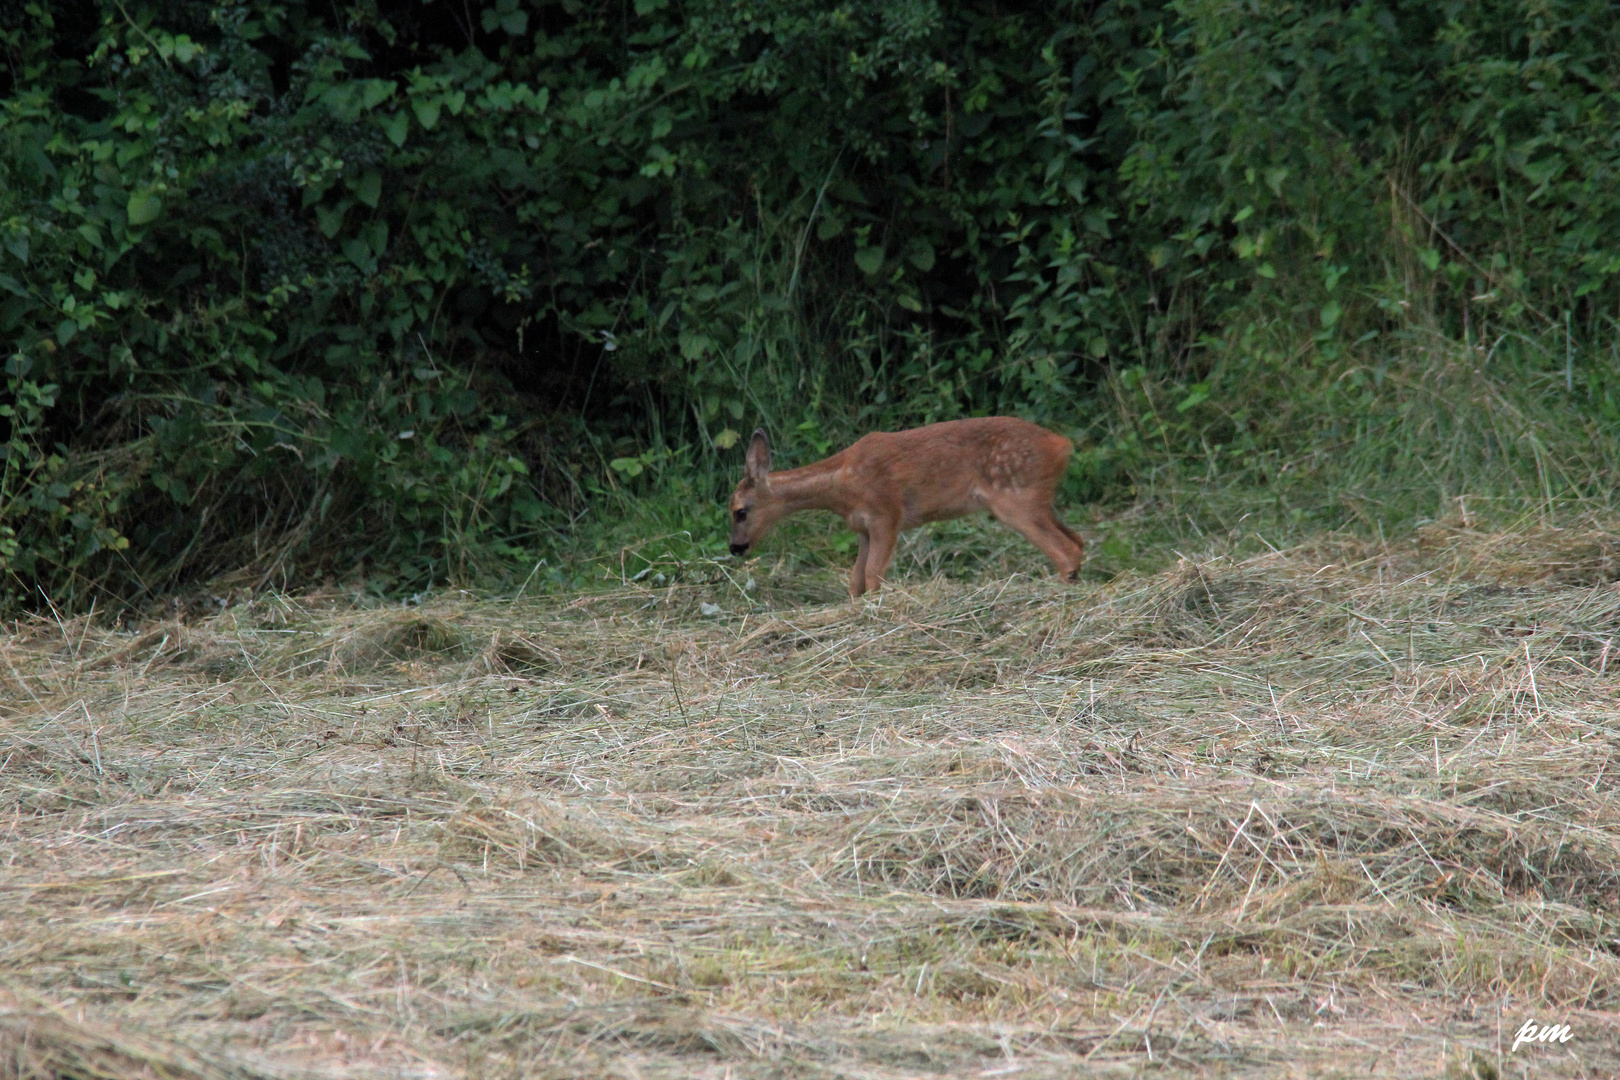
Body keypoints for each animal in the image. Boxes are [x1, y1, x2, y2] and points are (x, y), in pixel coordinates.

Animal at [725, 417, 1082, 599]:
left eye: (740, 511)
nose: (735, 547)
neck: (840, 484)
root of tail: (1061, 445)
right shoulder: (863, 529)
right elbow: (855, 580)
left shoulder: (886, 514)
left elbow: (872, 575)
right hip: (1039, 501)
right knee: (1077, 542)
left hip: (1015, 499)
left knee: (1065, 551)